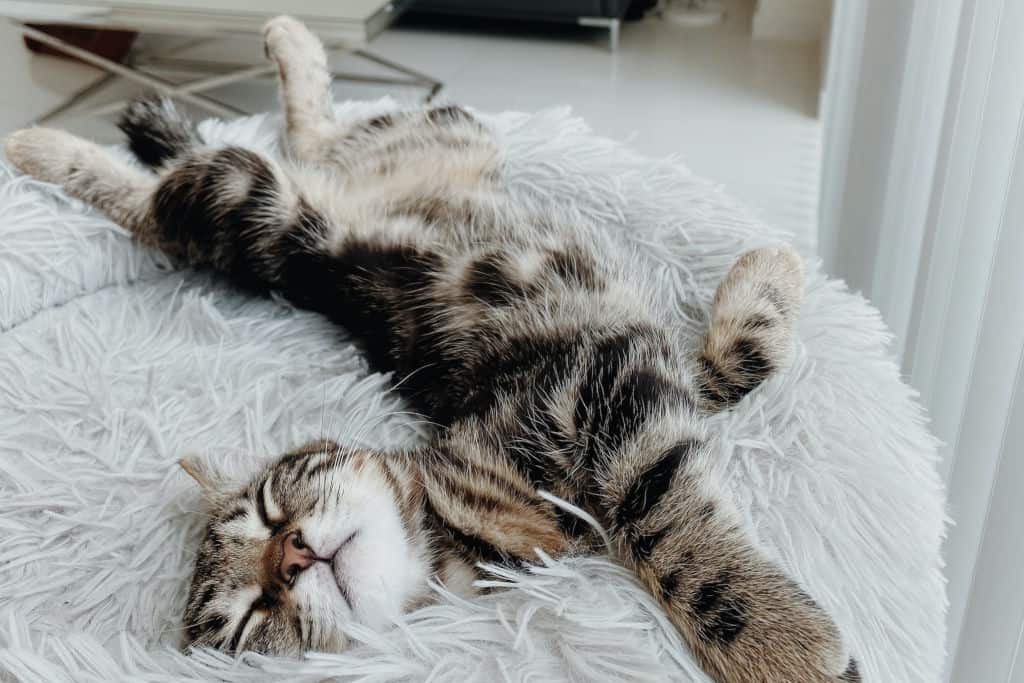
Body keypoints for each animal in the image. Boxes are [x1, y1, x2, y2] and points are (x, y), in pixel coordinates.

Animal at [4, 15, 860, 683]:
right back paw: (49, 145)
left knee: (281, 152)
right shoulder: (614, 385)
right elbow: (667, 507)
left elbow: (719, 402)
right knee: (165, 203)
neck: (461, 513)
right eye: (250, 616)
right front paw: (782, 640)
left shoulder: (609, 375)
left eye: (271, 503)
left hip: (398, 147)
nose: (293, 556)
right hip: (253, 206)